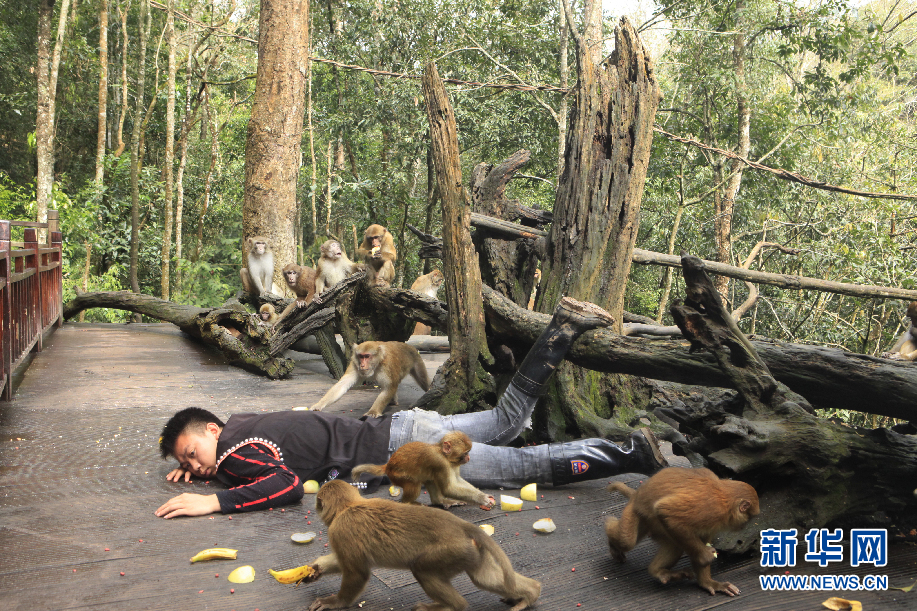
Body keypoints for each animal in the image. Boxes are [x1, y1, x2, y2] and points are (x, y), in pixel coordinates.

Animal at [296, 482, 540, 611]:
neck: (349, 506)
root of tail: (461, 525)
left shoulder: (341, 530)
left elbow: (357, 572)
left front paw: (335, 602)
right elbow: (344, 563)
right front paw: (315, 570)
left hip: (450, 551)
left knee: (422, 569)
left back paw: (453, 606)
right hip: (470, 551)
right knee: (484, 578)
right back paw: (531, 593)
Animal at [300, 340, 430, 420]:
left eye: (367, 356)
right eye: (361, 356)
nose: (362, 365)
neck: (377, 363)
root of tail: (410, 347)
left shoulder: (387, 365)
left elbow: (389, 387)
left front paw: (373, 412)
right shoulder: (354, 363)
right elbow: (342, 385)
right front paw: (319, 404)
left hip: (417, 361)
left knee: (423, 381)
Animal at [350, 430, 494, 512]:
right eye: (465, 453)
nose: (468, 458)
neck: (444, 455)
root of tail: (388, 465)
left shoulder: (453, 464)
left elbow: (457, 480)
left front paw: (483, 495)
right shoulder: (439, 463)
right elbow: (448, 488)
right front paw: (482, 498)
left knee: (430, 479)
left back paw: (439, 501)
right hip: (397, 475)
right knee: (414, 484)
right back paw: (409, 503)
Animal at [604, 468, 764, 596]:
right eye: (749, 518)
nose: (743, 526)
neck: (725, 497)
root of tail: (636, 495)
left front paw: (707, 582)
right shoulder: (711, 509)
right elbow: (666, 512)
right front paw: (705, 556)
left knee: (675, 545)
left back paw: (658, 572)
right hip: (635, 511)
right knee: (627, 541)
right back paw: (611, 536)